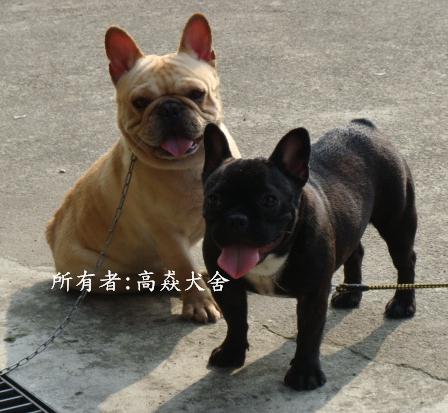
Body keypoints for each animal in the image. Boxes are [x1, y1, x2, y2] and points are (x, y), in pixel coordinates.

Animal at [46, 14, 240, 323]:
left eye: (197, 94)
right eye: (140, 103)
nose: (170, 108)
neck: (192, 166)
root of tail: (52, 232)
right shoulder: (168, 235)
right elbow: (183, 267)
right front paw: (199, 302)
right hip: (102, 272)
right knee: (151, 276)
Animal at [201, 119, 417, 389]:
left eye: (269, 200)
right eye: (213, 199)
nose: (236, 219)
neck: (273, 256)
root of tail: (364, 125)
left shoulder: (313, 293)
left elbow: (309, 332)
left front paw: (304, 374)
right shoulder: (226, 284)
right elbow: (235, 319)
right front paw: (231, 352)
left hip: (397, 222)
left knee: (405, 260)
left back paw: (403, 303)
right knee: (355, 251)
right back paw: (350, 294)